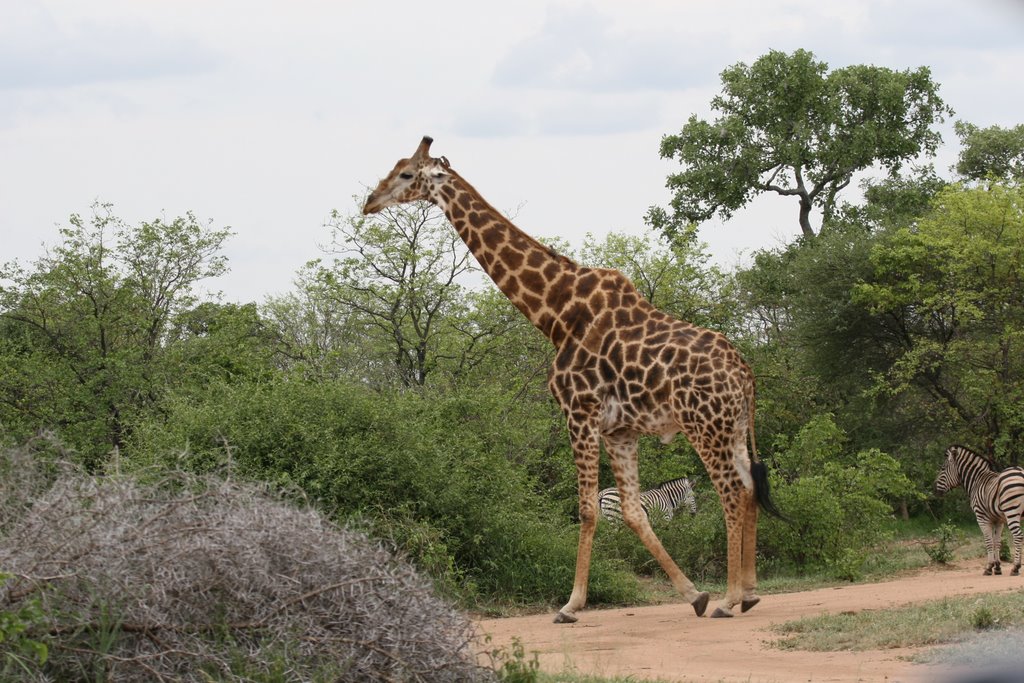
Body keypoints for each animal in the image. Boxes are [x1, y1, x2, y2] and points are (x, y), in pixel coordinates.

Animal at [364, 136, 778, 622]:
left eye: (407, 173)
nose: (369, 202)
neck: (556, 313)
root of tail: (745, 372)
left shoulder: (578, 410)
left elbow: (586, 509)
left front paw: (571, 603)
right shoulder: (620, 429)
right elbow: (632, 511)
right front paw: (693, 594)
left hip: (703, 423)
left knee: (730, 491)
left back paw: (731, 600)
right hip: (731, 426)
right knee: (748, 487)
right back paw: (748, 592)